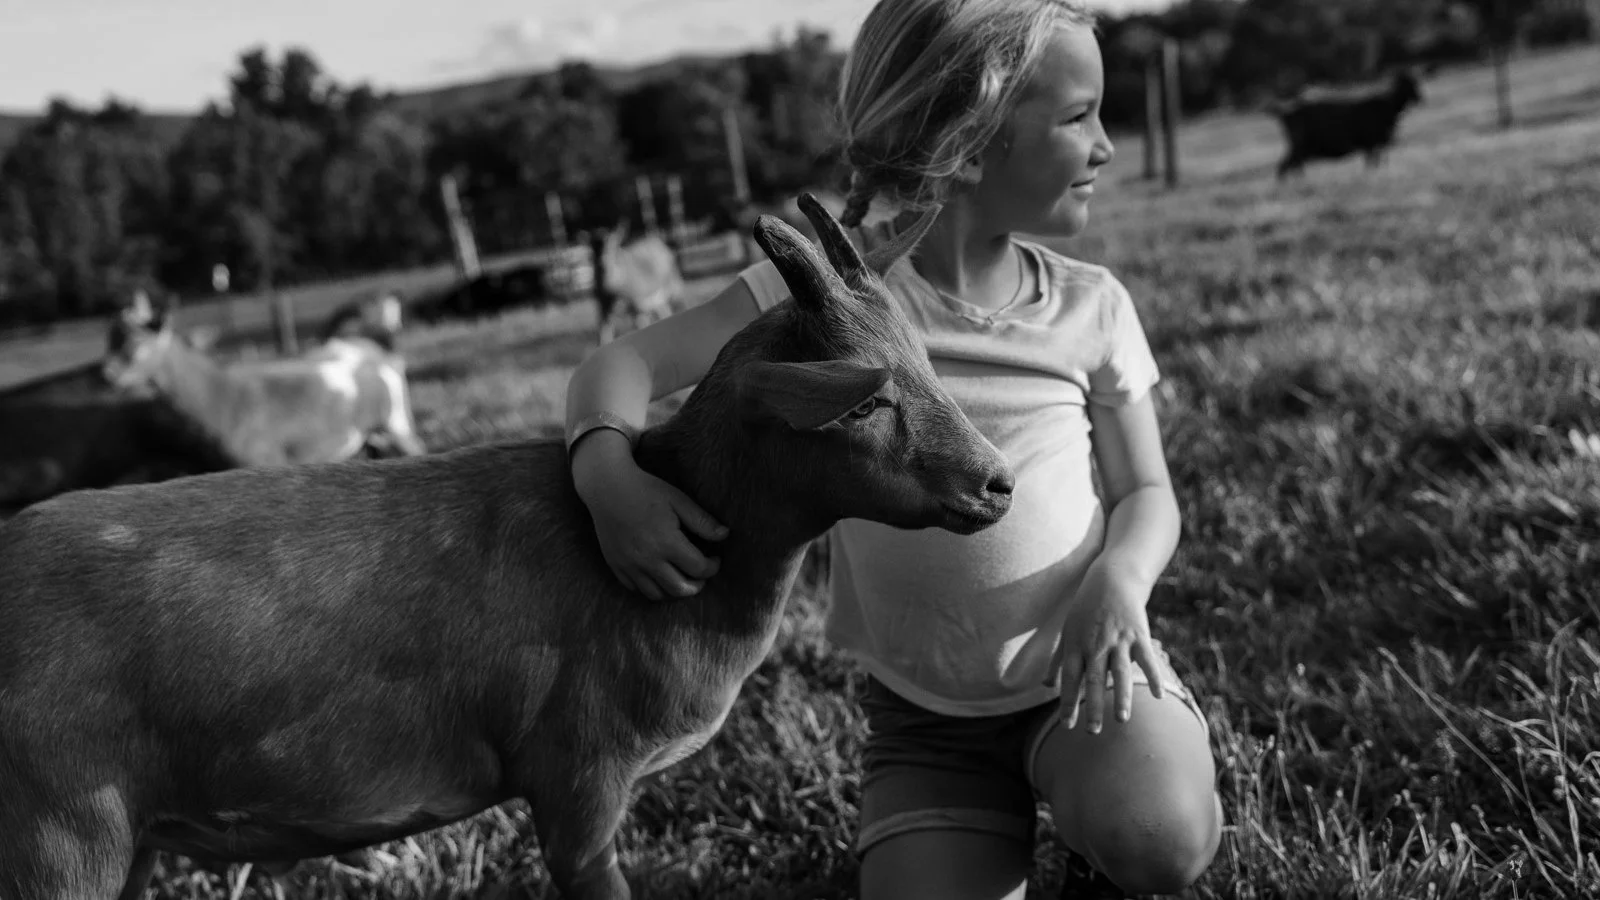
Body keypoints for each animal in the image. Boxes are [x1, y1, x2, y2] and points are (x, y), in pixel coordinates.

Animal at [100, 292, 427, 465]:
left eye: (135, 343)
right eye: (109, 340)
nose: (107, 374)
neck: (224, 399)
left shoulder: (266, 461)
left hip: (398, 421)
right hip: (374, 435)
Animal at [1270, 69, 1424, 180]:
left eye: (1415, 82)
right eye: (1408, 84)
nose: (1420, 98)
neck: (1388, 107)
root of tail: (1285, 112)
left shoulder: (1374, 143)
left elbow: (1375, 163)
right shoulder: (1371, 142)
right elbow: (1372, 163)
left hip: (1300, 146)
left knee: (1291, 166)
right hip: (1300, 144)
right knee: (1285, 166)